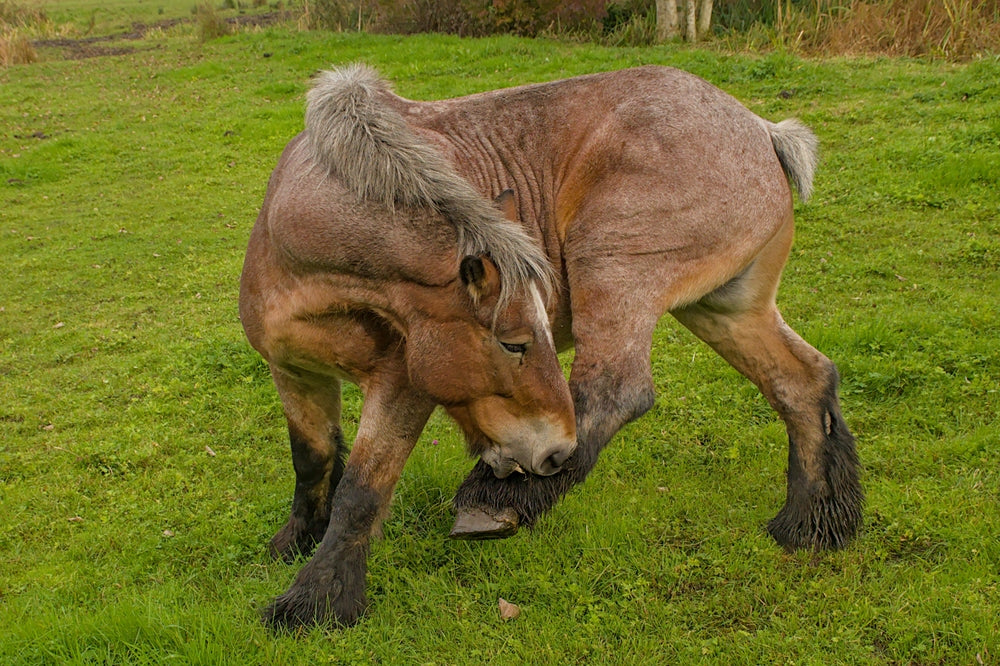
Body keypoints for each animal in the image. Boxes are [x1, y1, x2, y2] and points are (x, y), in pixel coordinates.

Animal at [238, 63, 862, 629]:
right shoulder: (294, 374)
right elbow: (313, 460)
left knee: (617, 390)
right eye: (514, 343)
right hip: (723, 309)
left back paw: (496, 502)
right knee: (805, 383)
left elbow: (363, 489)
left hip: (612, 268)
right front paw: (296, 542)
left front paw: (315, 602)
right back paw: (811, 527)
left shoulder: (403, 383)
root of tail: (761, 129)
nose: (557, 453)